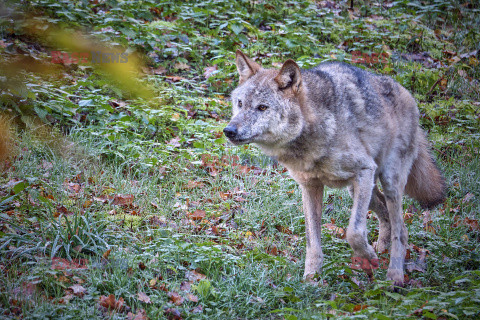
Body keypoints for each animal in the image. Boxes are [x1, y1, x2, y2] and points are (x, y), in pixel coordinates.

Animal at [223, 49, 444, 284]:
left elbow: (353, 232)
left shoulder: (363, 171)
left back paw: (394, 276)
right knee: (388, 217)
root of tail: (407, 94)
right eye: (240, 103)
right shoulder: (310, 187)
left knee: (400, 230)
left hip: (387, 182)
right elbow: (313, 240)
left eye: (262, 107)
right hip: (360, 190)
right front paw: (311, 279)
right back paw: (382, 249)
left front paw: (367, 257)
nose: (229, 130)